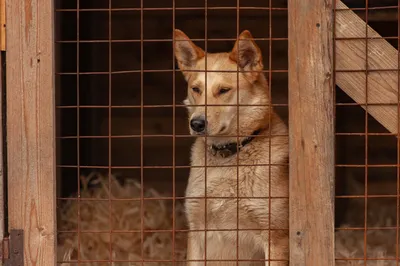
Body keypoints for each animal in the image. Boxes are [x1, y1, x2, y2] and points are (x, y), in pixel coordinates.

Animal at [173, 29, 290, 266]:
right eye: (196, 89)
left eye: (224, 90)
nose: (196, 123)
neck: (227, 155)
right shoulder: (196, 231)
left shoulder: (275, 237)